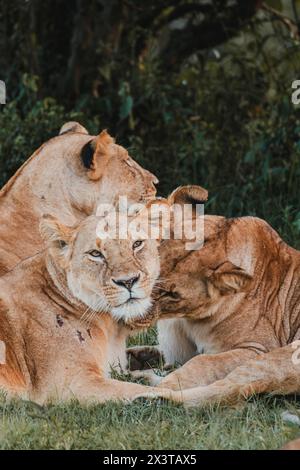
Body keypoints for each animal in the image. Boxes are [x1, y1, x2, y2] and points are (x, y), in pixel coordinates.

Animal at [128, 185, 300, 406]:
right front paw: (134, 358)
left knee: (226, 391)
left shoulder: (256, 348)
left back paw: (147, 395)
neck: (184, 320)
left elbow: (202, 363)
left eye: (172, 294)